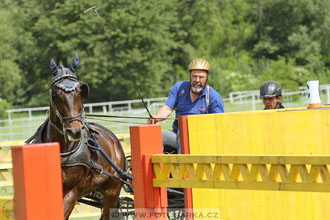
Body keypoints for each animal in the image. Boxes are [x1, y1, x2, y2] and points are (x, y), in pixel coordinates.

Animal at [27, 53, 127, 220]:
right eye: (55, 93)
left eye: (80, 92)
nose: (75, 131)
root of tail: (114, 141)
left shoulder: (70, 192)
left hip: (112, 190)